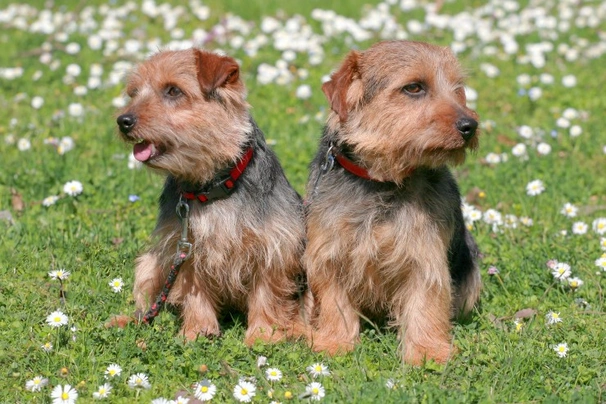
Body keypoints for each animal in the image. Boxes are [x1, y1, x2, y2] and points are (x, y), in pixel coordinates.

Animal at [117, 48, 312, 344]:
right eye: (134, 93)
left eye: (173, 91)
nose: (123, 121)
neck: (211, 189)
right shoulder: (187, 247)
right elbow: (194, 291)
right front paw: (197, 331)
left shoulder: (272, 245)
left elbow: (267, 294)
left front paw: (263, 335)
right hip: (149, 264)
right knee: (148, 300)